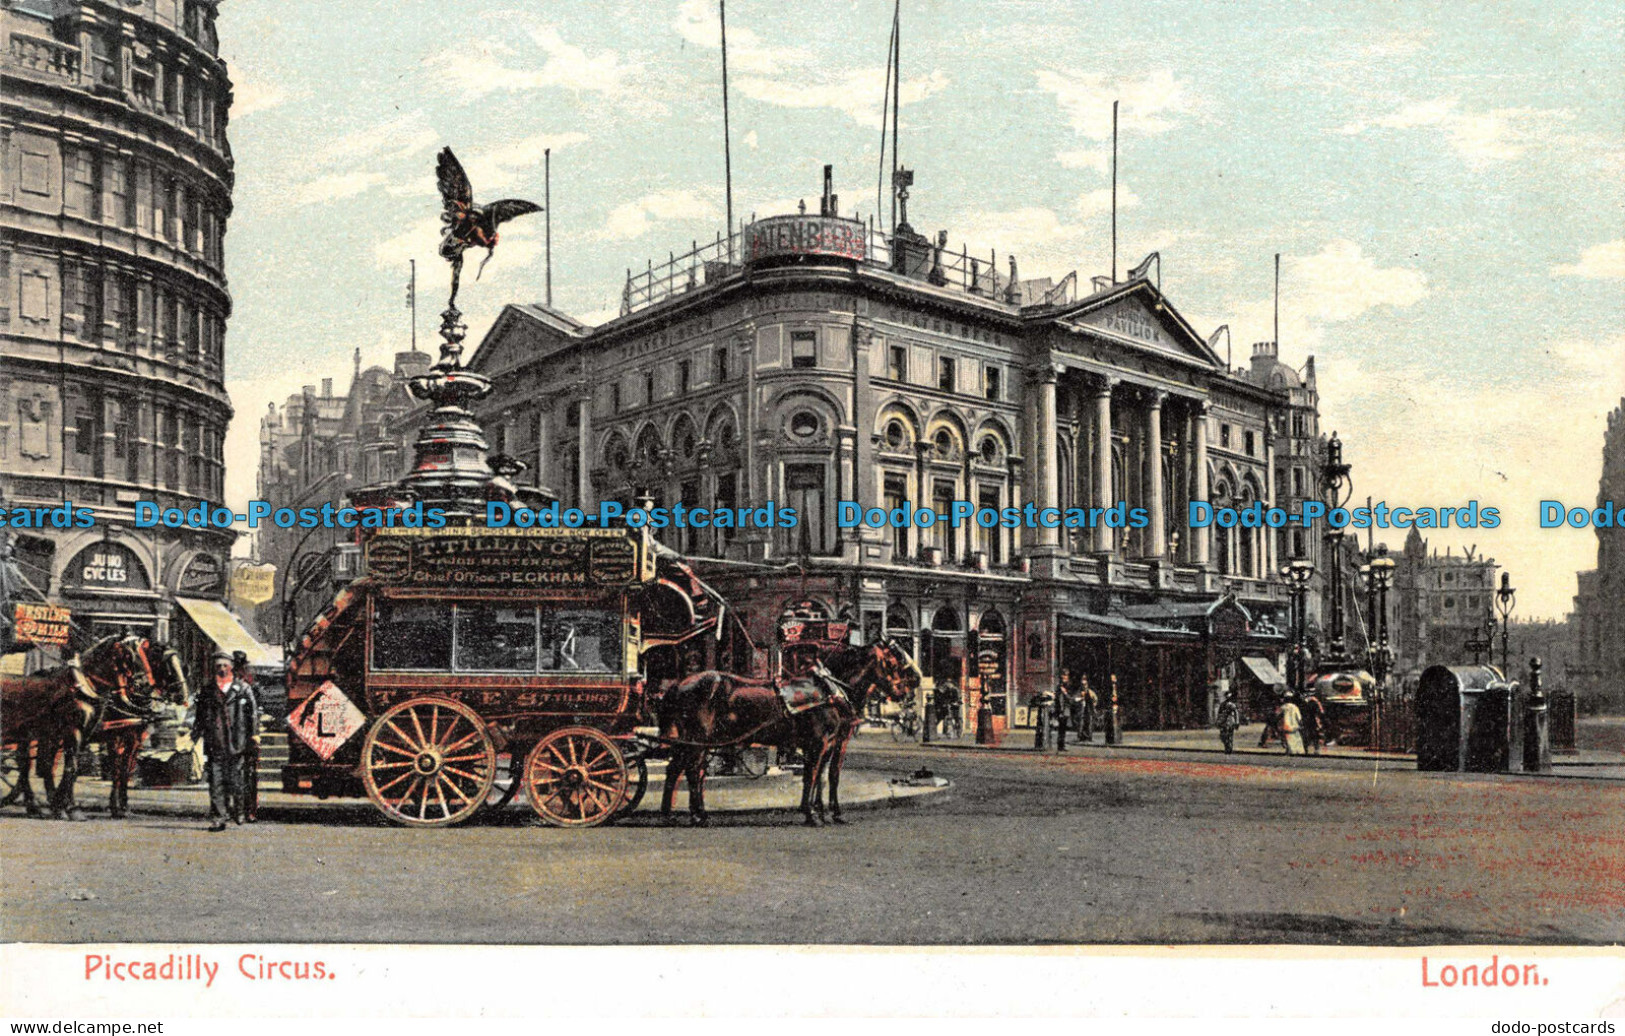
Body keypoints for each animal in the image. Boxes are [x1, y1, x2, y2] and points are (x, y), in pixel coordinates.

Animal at [0, 636, 186, 824]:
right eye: (167, 664)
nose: (182, 696)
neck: (85, 688)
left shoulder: (130, 737)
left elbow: (123, 770)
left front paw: (120, 807)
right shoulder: (89, 733)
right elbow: (83, 768)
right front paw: (73, 808)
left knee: (36, 765)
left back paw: (37, 805)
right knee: (29, 765)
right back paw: (35, 804)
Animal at [656, 643, 916, 828]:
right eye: (892, 664)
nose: (907, 692)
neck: (830, 691)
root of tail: (677, 685)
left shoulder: (830, 743)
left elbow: (825, 777)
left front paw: (825, 812)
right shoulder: (818, 743)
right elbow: (812, 776)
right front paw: (812, 813)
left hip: (696, 741)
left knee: (680, 770)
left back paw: (682, 814)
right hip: (696, 740)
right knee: (691, 772)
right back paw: (691, 815)